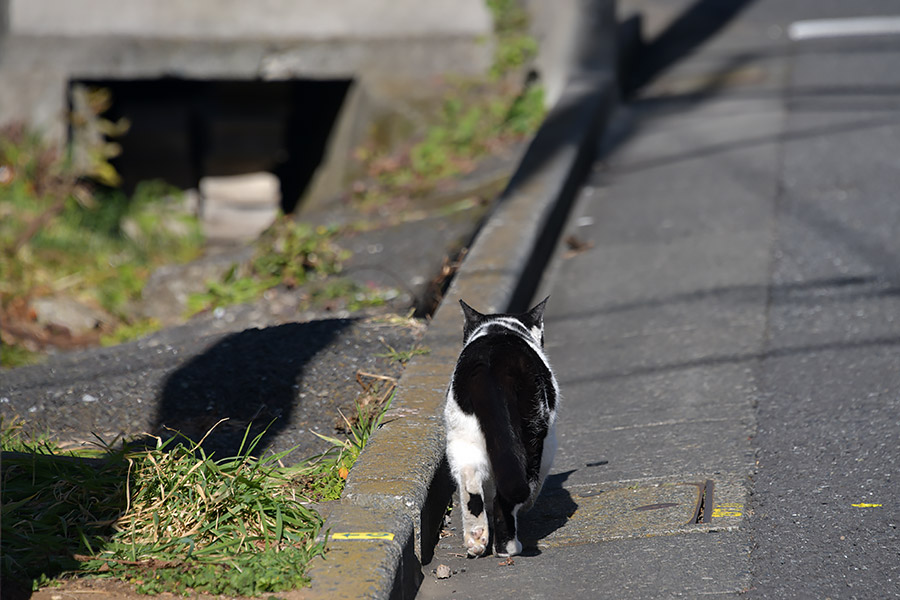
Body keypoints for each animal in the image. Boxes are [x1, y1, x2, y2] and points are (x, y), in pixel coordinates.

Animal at [442, 300, 556, 556]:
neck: (499, 328)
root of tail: (489, 363)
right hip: (532, 432)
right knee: (507, 495)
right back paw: (508, 547)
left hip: (460, 434)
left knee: (469, 476)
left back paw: (476, 538)